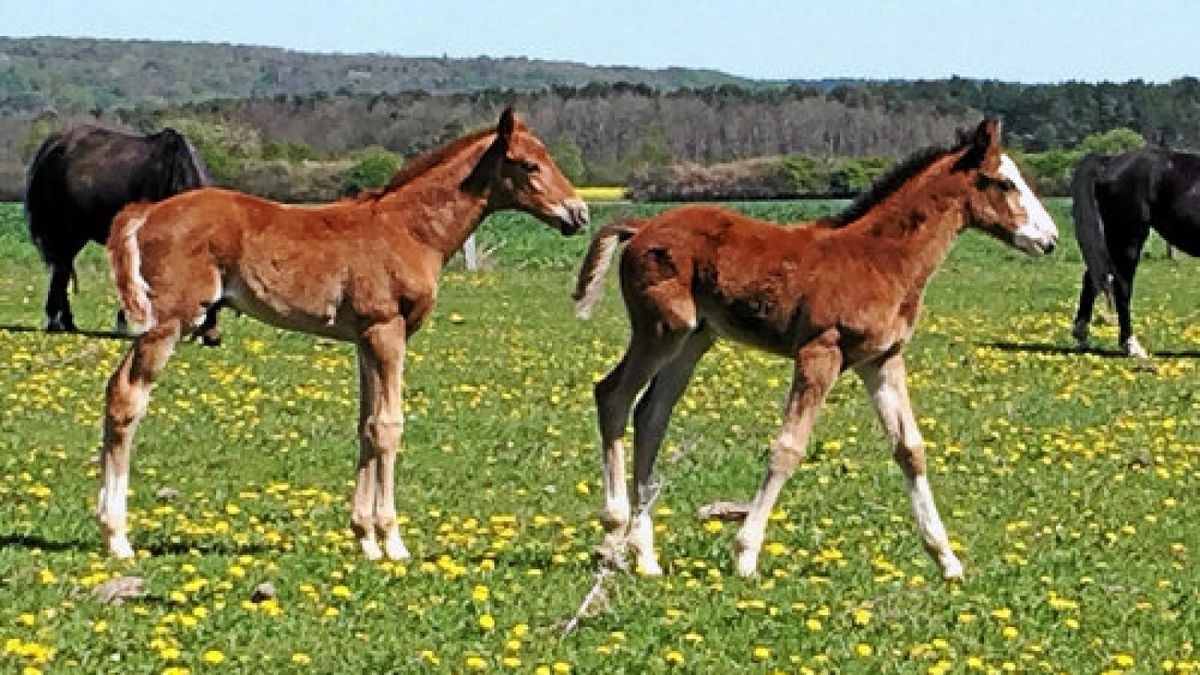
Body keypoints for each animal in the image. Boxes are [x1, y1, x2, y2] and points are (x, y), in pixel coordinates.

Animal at [23, 123, 216, 336]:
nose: (213, 338)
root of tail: (55, 144)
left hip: (76, 234)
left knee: (62, 269)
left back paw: (66, 323)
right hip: (65, 230)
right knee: (61, 270)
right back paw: (56, 322)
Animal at [97, 109, 585, 557]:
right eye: (529, 165)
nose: (578, 213)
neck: (409, 229)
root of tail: (147, 212)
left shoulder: (365, 339)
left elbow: (367, 425)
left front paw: (365, 538)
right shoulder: (387, 331)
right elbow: (389, 425)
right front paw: (393, 541)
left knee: (113, 390)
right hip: (167, 323)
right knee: (127, 398)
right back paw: (117, 537)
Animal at [576, 119, 1056, 578]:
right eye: (1004, 182)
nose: (1049, 239)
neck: (881, 259)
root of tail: (641, 227)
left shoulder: (882, 359)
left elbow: (910, 448)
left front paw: (947, 561)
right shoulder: (820, 352)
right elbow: (788, 447)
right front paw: (745, 555)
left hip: (694, 338)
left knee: (651, 414)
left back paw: (646, 556)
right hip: (662, 329)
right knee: (613, 395)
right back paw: (614, 532)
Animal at [1070, 147, 1200, 357]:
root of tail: (1109, 160)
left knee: (1093, 278)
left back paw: (1082, 336)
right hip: (1128, 240)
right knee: (1121, 287)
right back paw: (1131, 345)